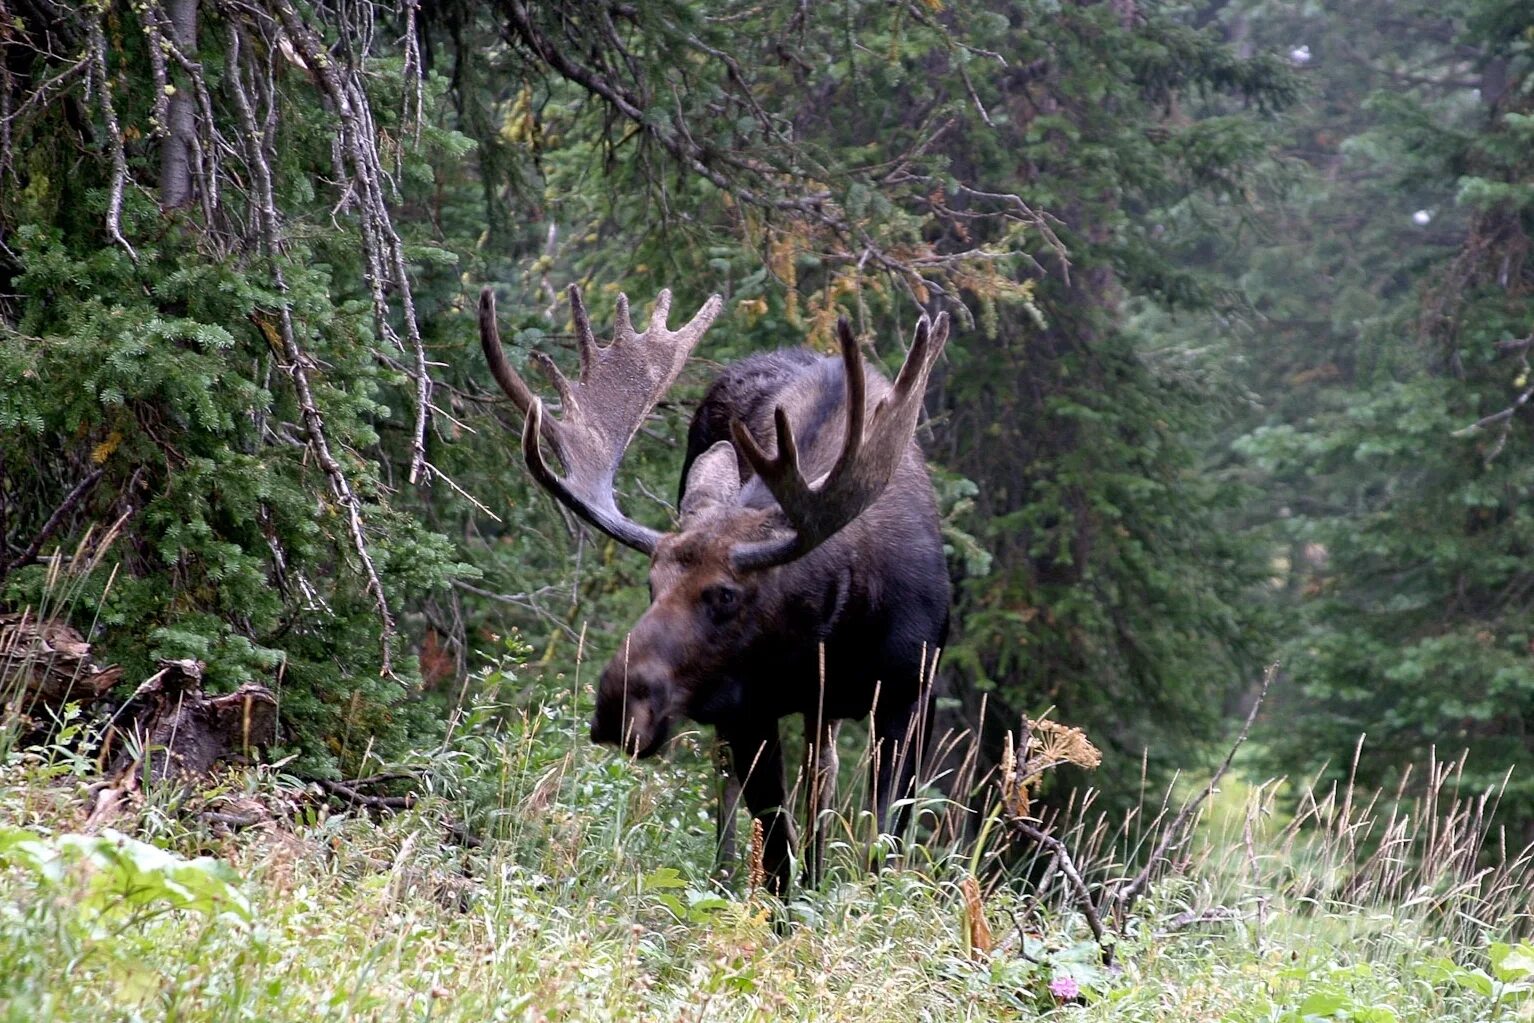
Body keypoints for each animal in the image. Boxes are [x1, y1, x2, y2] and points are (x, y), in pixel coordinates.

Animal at [478, 283, 951, 889]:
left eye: (725, 593)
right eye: (651, 583)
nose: (617, 703)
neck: (840, 622)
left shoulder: (911, 692)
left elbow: (882, 841)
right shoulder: (747, 705)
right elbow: (776, 850)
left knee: (820, 773)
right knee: (741, 783)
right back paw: (725, 875)